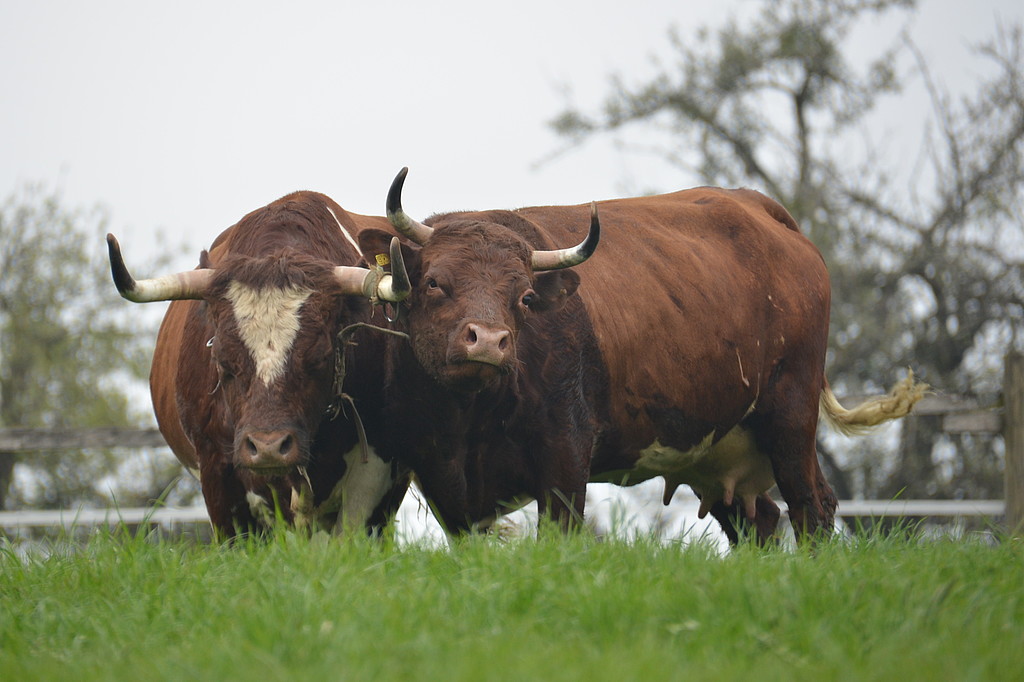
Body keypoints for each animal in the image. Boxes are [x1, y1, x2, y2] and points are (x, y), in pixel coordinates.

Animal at [360, 166, 929, 540]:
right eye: (434, 282)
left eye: (524, 297)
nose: (490, 341)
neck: (470, 419)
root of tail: (760, 208)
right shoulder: (442, 479)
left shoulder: (566, 458)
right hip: (718, 445)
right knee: (760, 518)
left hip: (792, 414)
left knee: (813, 506)